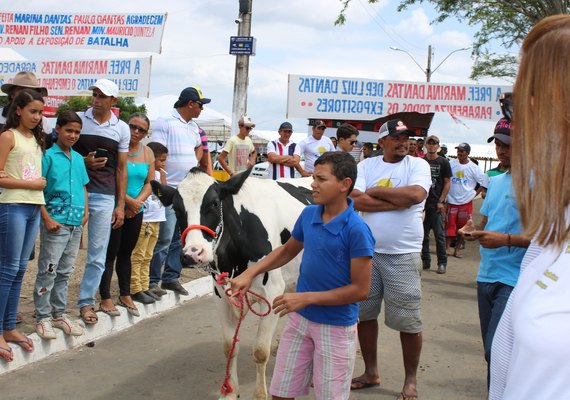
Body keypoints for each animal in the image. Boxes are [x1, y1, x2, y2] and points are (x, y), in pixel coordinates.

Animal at [151, 167, 310, 398]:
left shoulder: (272, 292)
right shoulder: (220, 294)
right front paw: (229, 392)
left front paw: (260, 395)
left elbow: (260, 350)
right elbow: (229, 347)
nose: (192, 253)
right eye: (177, 208)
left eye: (214, 203)